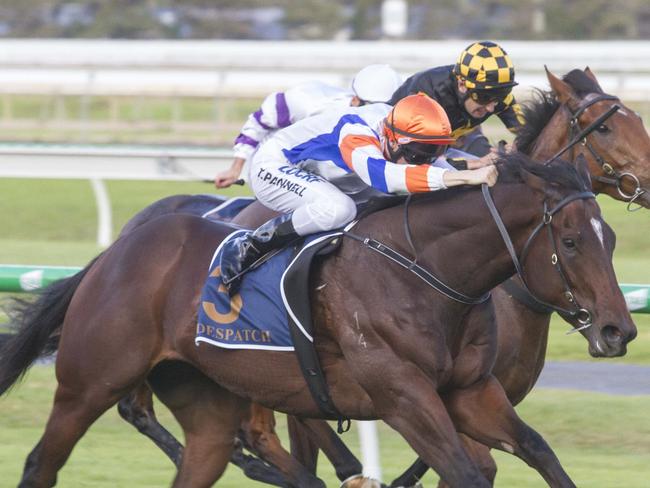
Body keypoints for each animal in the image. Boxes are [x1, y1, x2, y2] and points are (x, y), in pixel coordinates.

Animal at [0, 153, 636, 488]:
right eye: (572, 242)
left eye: (611, 238)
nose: (618, 330)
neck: (423, 270)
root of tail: (113, 253)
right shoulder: (403, 395)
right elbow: (465, 470)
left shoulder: (470, 391)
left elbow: (538, 450)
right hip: (90, 381)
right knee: (41, 462)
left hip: (206, 404)